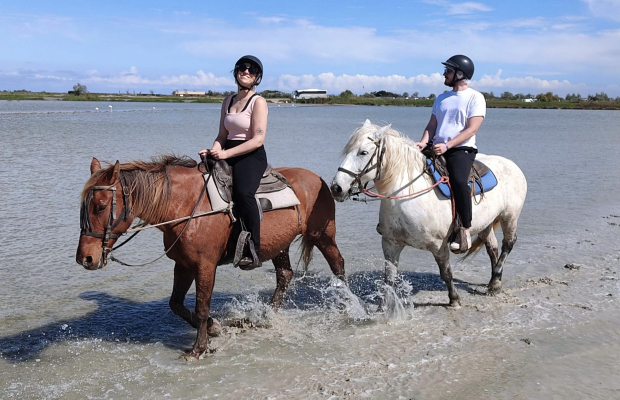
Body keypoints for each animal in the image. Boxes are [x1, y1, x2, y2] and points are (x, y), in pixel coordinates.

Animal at [75, 155, 346, 358]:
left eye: (101, 206)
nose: (85, 259)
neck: (185, 206)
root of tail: (319, 179)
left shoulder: (205, 265)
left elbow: (202, 306)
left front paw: (199, 348)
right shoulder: (183, 265)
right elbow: (176, 304)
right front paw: (214, 328)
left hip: (323, 235)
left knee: (338, 266)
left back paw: (347, 305)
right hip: (281, 245)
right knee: (284, 276)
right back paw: (265, 317)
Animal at [332, 119, 524, 306]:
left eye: (363, 152)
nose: (336, 188)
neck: (407, 195)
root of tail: (512, 164)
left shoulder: (439, 245)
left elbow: (446, 273)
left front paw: (454, 299)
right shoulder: (390, 243)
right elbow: (389, 277)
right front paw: (384, 305)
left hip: (509, 216)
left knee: (508, 243)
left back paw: (496, 277)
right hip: (486, 223)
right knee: (492, 247)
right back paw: (494, 283)